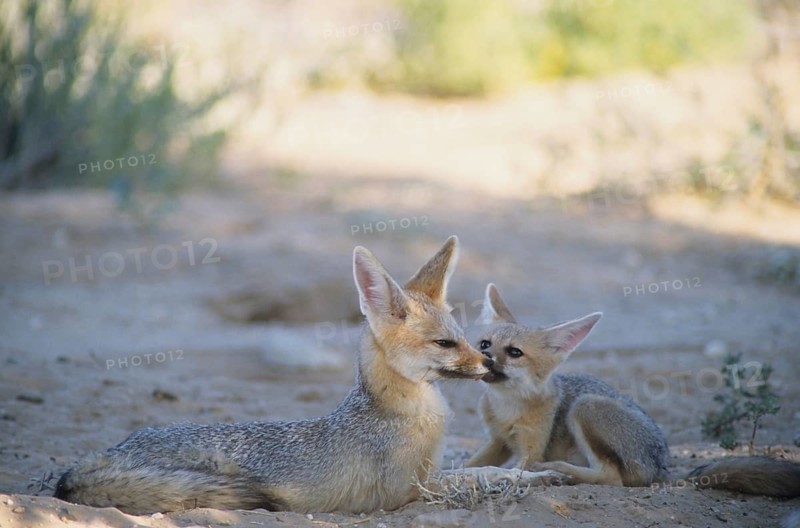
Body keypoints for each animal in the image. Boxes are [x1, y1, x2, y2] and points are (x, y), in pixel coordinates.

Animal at [53, 237, 560, 515]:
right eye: (445, 344)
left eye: (467, 339)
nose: (488, 365)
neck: (404, 416)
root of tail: (96, 457)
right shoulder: (408, 491)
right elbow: (480, 478)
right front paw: (535, 478)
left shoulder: (430, 472)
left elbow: (483, 469)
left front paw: (536, 473)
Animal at [467, 283, 800, 498]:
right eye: (485, 344)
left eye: (514, 353)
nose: (485, 358)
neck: (508, 408)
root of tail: (662, 466)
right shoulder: (498, 442)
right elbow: (470, 464)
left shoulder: (530, 449)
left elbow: (515, 470)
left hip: (586, 407)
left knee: (611, 478)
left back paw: (561, 471)